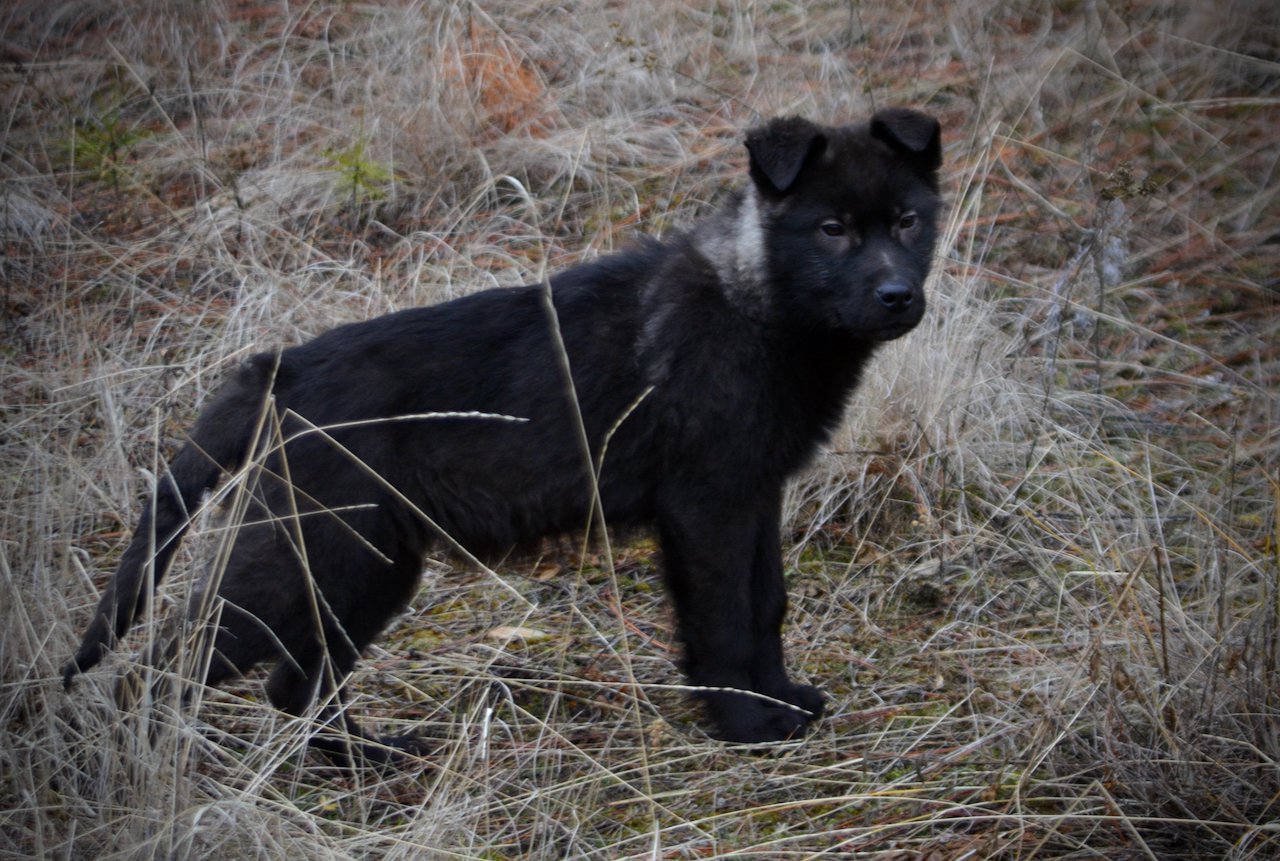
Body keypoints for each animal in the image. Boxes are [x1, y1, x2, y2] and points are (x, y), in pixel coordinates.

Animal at [64, 109, 947, 752]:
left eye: (907, 222)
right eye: (832, 229)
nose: (899, 297)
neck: (759, 301)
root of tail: (276, 370)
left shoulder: (753, 497)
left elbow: (768, 605)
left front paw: (781, 698)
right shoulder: (709, 507)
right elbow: (727, 617)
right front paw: (748, 725)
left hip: (367, 565)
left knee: (294, 683)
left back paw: (372, 757)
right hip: (311, 557)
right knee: (165, 668)